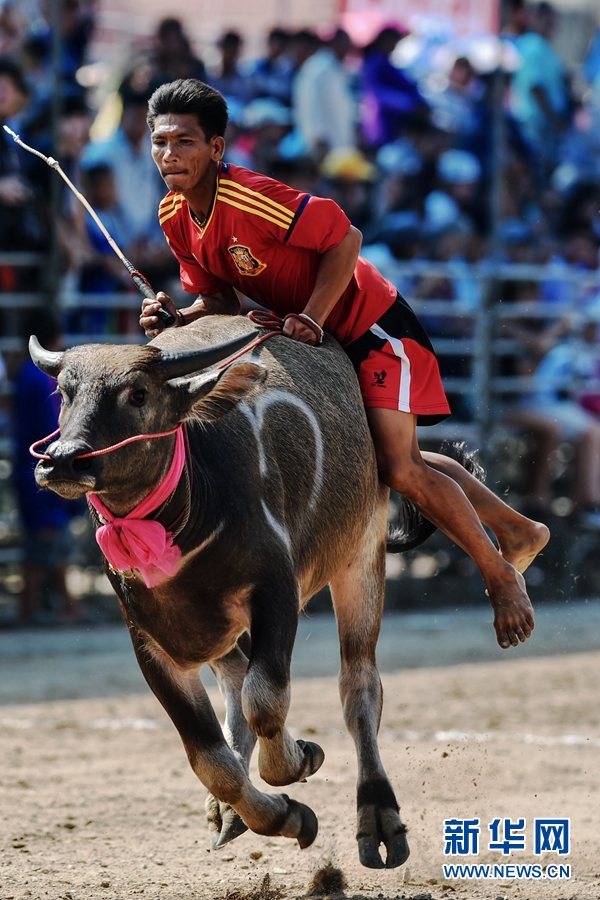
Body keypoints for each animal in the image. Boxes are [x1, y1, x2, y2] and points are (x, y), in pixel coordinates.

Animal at [31, 312, 446, 868]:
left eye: (138, 393)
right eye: (64, 391)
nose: (62, 461)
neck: (183, 518)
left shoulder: (276, 591)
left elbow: (266, 700)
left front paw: (298, 760)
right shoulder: (152, 642)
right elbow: (212, 760)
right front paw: (283, 816)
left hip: (362, 552)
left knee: (358, 687)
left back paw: (378, 819)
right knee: (235, 676)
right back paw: (231, 813)